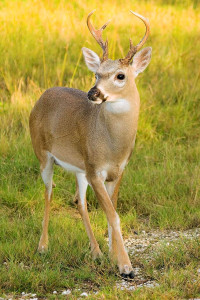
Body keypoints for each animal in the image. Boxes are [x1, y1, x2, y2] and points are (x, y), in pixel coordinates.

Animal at [29, 11, 152, 278]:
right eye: (97, 74)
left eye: (120, 75)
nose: (93, 92)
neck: (113, 145)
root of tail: (42, 96)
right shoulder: (96, 170)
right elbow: (114, 216)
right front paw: (125, 266)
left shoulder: (116, 171)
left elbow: (110, 213)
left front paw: (112, 256)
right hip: (43, 154)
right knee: (48, 193)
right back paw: (42, 247)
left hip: (80, 167)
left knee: (79, 201)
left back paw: (95, 252)